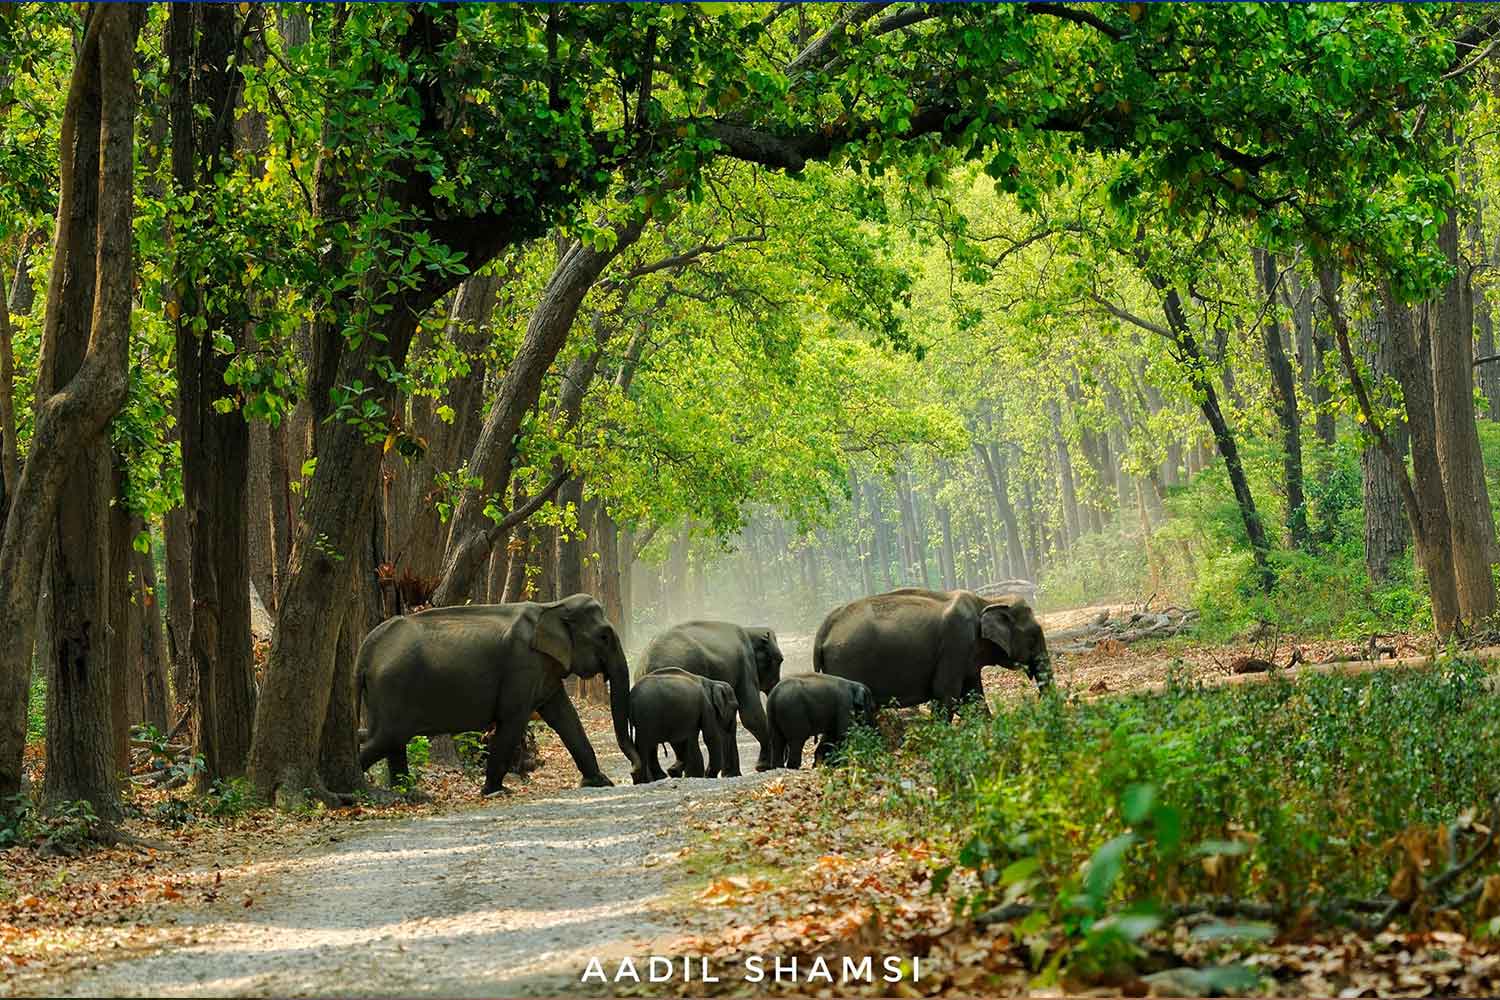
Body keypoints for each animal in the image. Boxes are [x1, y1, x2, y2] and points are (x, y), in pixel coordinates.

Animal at [357, 593, 639, 797]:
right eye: (604, 636)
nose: (635, 774)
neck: (551, 606)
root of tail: (368, 646)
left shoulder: (543, 669)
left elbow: (565, 717)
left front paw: (601, 782)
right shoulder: (522, 664)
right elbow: (512, 719)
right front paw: (496, 791)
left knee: (392, 741)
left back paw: (411, 794)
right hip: (392, 686)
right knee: (387, 737)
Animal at [639, 617, 786, 773]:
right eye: (780, 660)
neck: (750, 631)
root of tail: (648, 664)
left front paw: (731, 774)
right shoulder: (746, 665)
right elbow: (751, 715)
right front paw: (763, 767)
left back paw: (671, 771)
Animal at [816, 587, 1050, 719]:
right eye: (1034, 635)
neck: (987, 601)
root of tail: (825, 628)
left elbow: (973, 698)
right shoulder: (956, 642)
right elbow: (945, 693)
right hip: (846, 663)